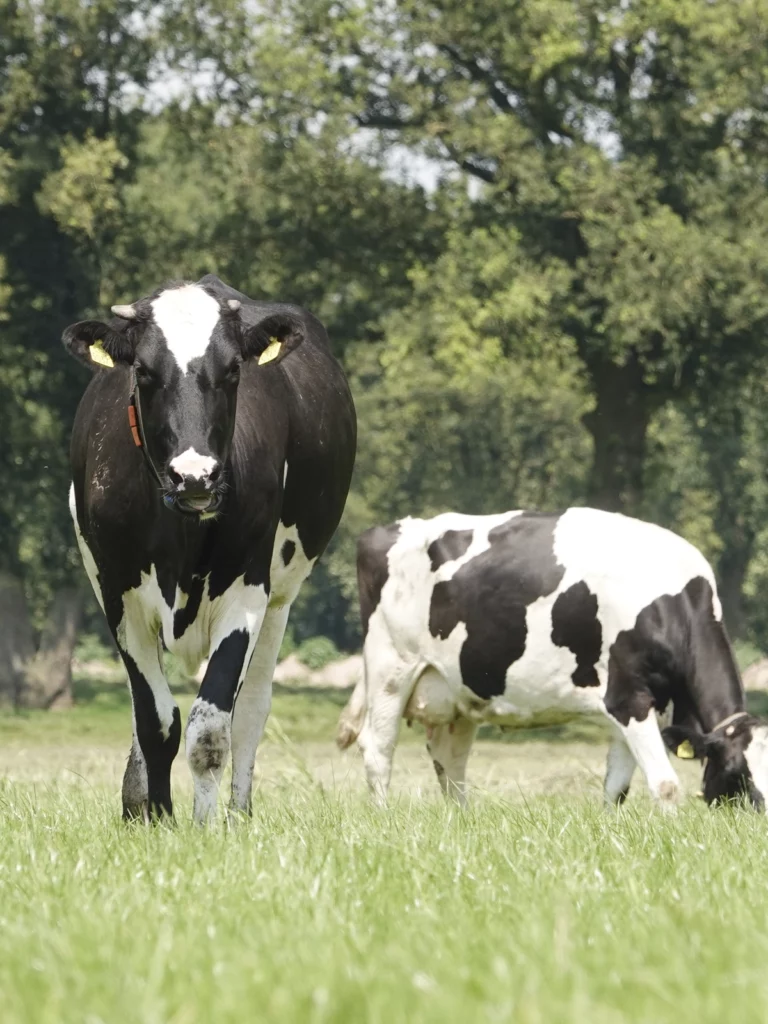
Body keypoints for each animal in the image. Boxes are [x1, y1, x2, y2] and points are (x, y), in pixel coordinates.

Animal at [64, 275, 356, 823]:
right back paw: (136, 804)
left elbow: (210, 729)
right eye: (143, 370)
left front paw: (203, 827)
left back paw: (238, 814)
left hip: (280, 597)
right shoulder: (118, 594)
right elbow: (156, 721)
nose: (194, 474)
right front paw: (157, 818)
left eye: (233, 369)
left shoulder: (246, 592)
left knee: (251, 713)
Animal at [337, 508, 768, 810]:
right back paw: (385, 819)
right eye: (736, 772)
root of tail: (387, 529)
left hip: (457, 689)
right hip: (391, 668)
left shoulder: (640, 707)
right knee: (378, 749)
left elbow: (616, 788)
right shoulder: (627, 698)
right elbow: (664, 785)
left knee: (449, 761)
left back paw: (461, 820)